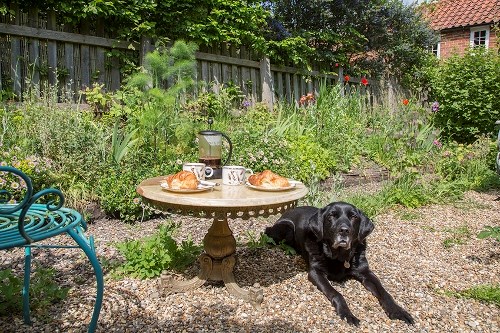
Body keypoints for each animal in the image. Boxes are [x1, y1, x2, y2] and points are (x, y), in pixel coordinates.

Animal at [266, 200, 414, 324]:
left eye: (353, 216)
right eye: (332, 216)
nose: (344, 230)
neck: (339, 256)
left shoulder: (365, 272)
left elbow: (384, 292)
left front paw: (398, 311)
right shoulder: (316, 272)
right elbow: (337, 294)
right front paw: (348, 314)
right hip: (287, 229)